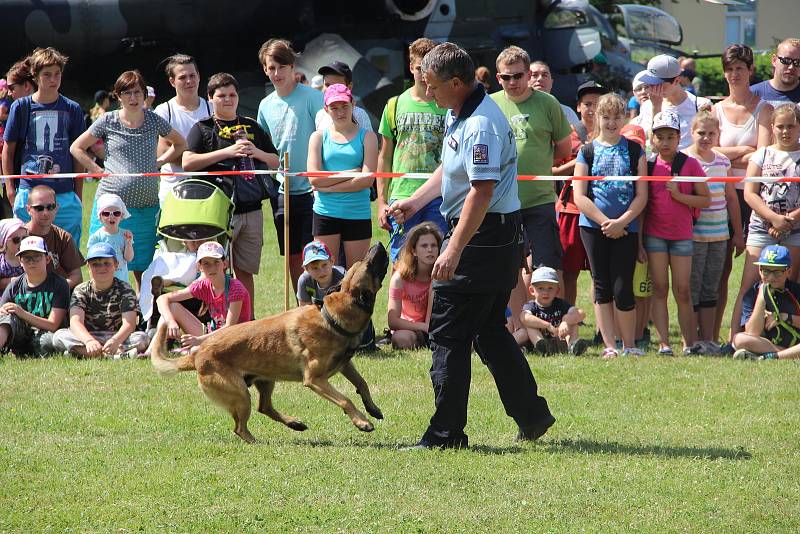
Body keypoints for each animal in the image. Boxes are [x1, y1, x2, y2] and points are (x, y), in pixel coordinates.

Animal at [150, 243, 390, 444]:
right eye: (369, 265)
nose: (378, 244)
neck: (330, 317)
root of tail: (197, 354)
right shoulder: (315, 380)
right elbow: (346, 400)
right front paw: (362, 422)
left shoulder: (345, 364)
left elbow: (362, 383)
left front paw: (373, 409)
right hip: (240, 394)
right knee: (240, 427)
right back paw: (256, 441)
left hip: (265, 381)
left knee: (263, 408)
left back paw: (294, 423)